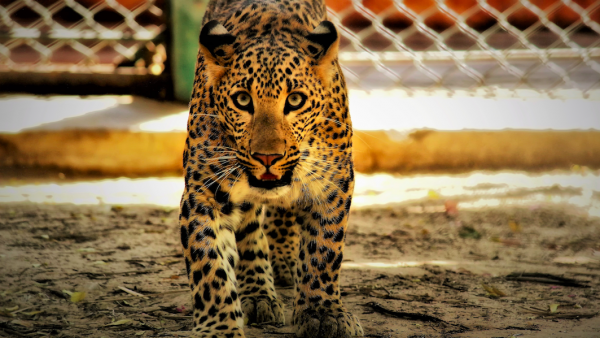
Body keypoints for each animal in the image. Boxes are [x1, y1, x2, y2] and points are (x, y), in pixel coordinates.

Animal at [178, 1, 364, 336]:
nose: (267, 157)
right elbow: (208, 264)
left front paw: (323, 313)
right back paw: (257, 293)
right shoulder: (202, 193)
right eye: (242, 100)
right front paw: (218, 328)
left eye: (295, 100)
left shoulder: (334, 184)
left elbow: (324, 250)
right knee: (250, 228)